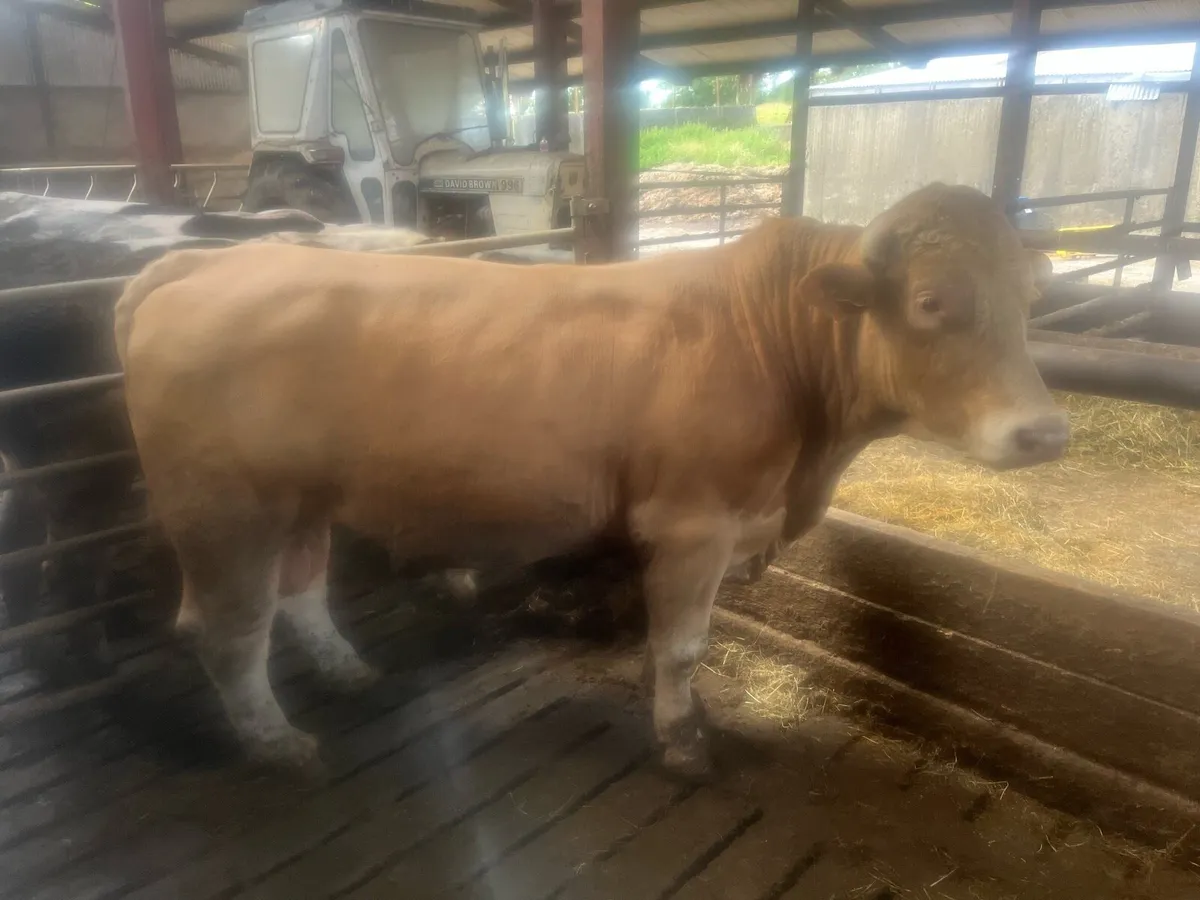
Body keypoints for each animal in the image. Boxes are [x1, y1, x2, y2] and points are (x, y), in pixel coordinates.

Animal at [114, 183, 1068, 778]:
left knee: (298, 590)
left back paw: (348, 674)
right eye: (933, 303)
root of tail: (211, 263)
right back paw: (278, 743)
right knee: (228, 629)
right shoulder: (694, 522)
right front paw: (682, 743)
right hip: (224, 509)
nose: (1046, 430)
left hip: (299, 499)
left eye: (1030, 302)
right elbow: (681, 644)